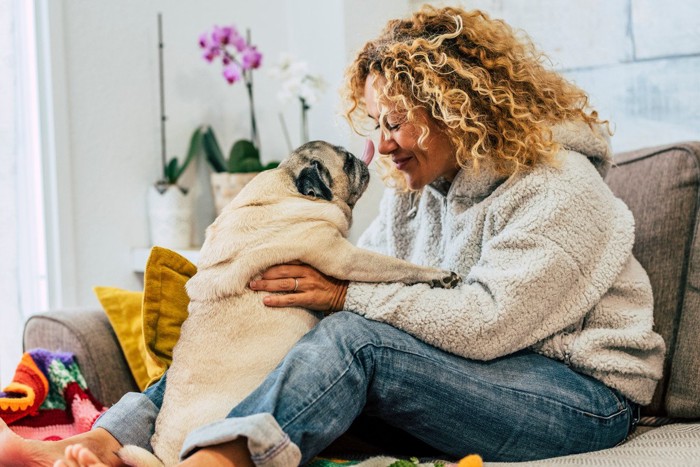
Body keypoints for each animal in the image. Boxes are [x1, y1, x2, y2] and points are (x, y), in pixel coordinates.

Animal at [120, 141, 460, 466]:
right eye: (347, 160)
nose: (363, 160)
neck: (285, 185)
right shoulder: (346, 257)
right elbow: (397, 265)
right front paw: (439, 275)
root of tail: (163, 455)